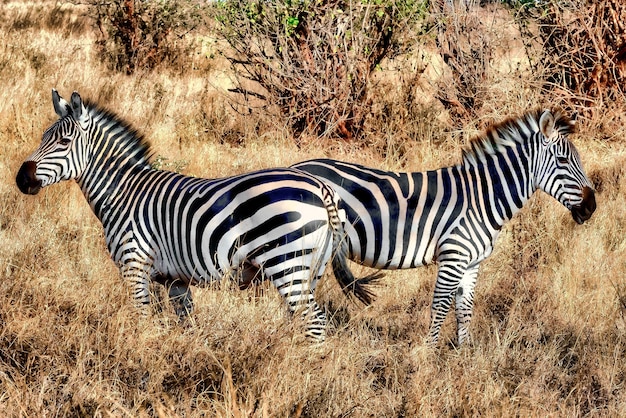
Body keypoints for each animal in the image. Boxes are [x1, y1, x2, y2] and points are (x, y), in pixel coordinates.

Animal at [15, 90, 376, 342]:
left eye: (64, 141)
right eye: (43, 137)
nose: (21, 179)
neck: (123, 192)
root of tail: (321, 186)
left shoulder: (134, 265)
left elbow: (141, 319)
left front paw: (140, 360)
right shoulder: (175, 280)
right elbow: (186, 323)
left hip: (287, 260)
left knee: (313, 320)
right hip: (312, 266)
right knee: (304, 317)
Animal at [292, 108, 596, 346]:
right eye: (563, 161)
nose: (592, 206)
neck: (483, 198)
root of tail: (297, 165)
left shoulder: (472, 263)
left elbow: (465, 309)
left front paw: (463, 357)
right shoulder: (453, 256)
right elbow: (440, 307)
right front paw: (428, 357)